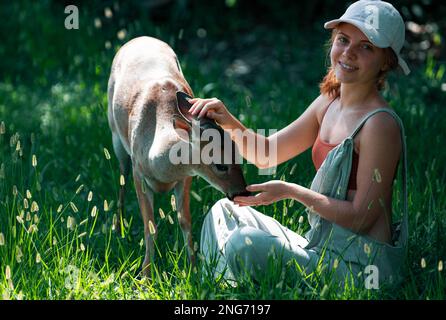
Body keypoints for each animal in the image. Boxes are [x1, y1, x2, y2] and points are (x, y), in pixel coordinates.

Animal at [106, 36, 249, 276]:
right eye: (220, 165)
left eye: (239, 156)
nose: (242, 192)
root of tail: (139, 38)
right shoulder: (139, 172)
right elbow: (150, 227)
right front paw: (145, 275)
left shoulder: (186, 176)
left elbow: (185, 221)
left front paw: (193, 269)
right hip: (116, 137)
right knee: (121, 178)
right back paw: (118, 228)